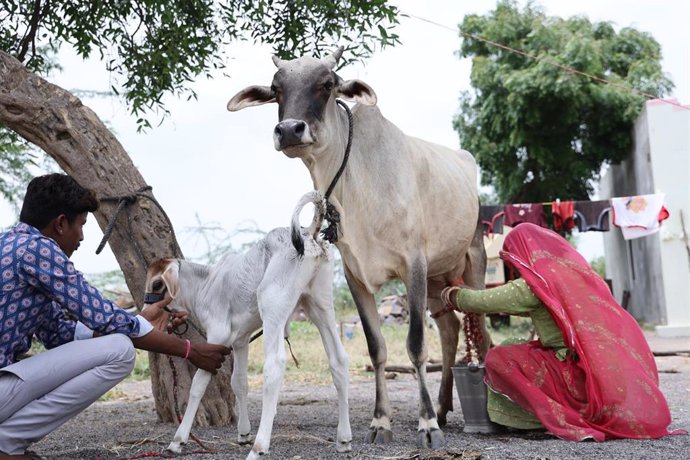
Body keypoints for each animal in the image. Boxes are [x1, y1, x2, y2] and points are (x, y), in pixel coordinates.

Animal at [144, 190, 350, 456]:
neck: (205, 285)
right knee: (338, 360)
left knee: (274, 365)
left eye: (157, 284)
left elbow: (197, 386)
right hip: (320, 306)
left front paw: (178, 440)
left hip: (273, 306)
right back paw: (344, 438)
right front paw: (242, 433)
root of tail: (309, 232)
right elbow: (239, 381)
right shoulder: (240, 341)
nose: (145, 313)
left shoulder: (217, 338)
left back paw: (259, 446)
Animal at [227, 48, 490, 448]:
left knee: (482, 332)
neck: (358, 185)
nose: (289, 130)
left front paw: (426, 424)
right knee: (449, 332)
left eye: (327, 83)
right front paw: (382, 421)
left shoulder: (413, 266)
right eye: (276, 88)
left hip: (473, 265)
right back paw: (444, 408)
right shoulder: (356, 276)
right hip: (437, 280)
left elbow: (415, 345)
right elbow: (376, 347)